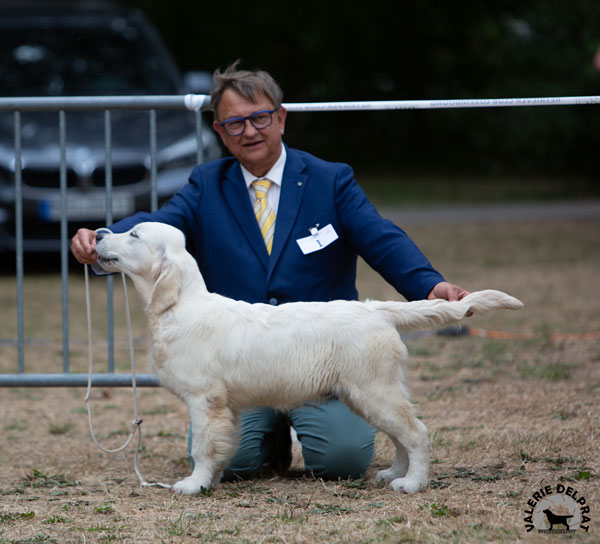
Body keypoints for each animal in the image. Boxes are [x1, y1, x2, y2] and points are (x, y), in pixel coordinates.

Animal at [95, 220, 524, 492]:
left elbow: (202, 445)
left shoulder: (205, 400)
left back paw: (412, 483)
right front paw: (211, 481)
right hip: (371, 393)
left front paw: (193, 485)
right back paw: (393, 473)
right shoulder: (225, 407)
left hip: (373, 390)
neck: (180, 306)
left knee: (416, 432)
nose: (97, 233)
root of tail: (377, 309)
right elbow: (222, 446)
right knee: (401, 434)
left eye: (132, 233)